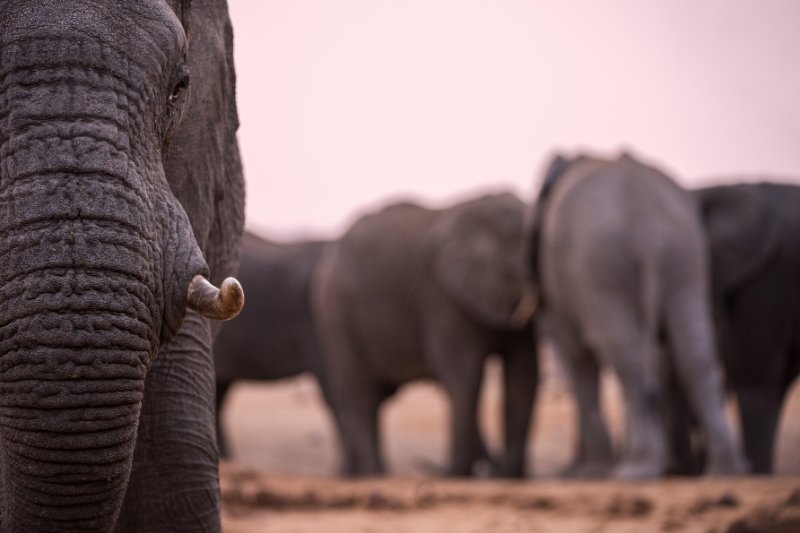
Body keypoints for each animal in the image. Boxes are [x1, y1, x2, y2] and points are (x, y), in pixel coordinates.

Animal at [312, 192, 536, 478]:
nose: (433, 469)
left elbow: (523, 374)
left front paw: (509, 477)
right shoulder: (444, 297)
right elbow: (464, 373)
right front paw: (462, 476)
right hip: (336, 315)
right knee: (361, 395)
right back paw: (377, 474)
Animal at [528, 152, 748, 480]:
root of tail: (647, 226)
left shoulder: (561, 283)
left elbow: (577, 357)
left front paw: (593, 471)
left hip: (602, 262)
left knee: (626, 357)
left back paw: (636, 469)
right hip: (684, 255)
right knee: (693, 352)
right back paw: (724, 469)